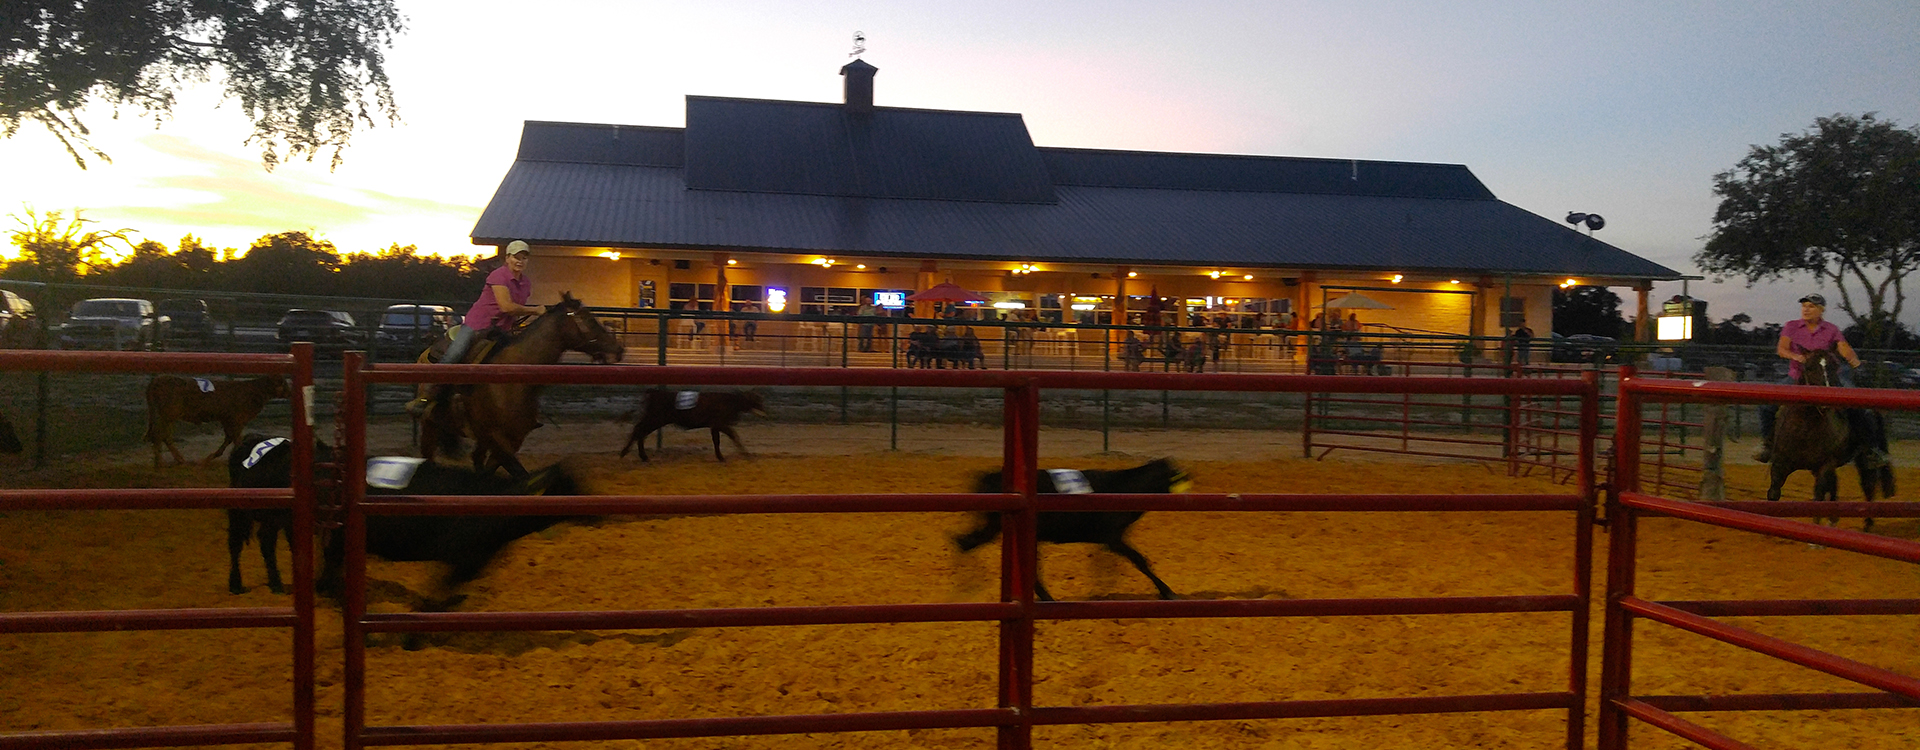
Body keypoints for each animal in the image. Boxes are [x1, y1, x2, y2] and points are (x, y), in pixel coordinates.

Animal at [144, 375, 291, 469]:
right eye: (283, 384)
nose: (290, 392)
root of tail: (157, 380)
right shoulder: (236, 419)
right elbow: (236, 439)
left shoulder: (228, 420)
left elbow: (229, 439)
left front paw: (209, 458)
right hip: (168, 414)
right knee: (159, 434)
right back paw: (160, 463)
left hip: (168, 416)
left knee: (164, 435)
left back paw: (177, 460)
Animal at [614, 391, 764, 460]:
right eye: (757, 401)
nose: (764, 412)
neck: (730, 401)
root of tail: (654, 393)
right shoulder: (719, 424)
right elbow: (732, 436)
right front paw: (742, 454)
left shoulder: (714, 426)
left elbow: (717, 440)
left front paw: (721, 456)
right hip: (655, 419)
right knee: (639, 431)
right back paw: (627, 453)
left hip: (654, 420)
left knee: (640, 432)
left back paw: (642, 456)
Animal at [956, 454, 1182, 602]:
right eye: (1173, 475)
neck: (1124, 486)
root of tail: (989, 476)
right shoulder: (1112, 538)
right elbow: (1140, 560)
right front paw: (1168, 591)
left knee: (967, 542)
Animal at [1758, 347, 1896, 529]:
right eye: (1809, 367)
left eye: (1834, 366)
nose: (1827, 397)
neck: (1804, 430)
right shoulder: (1780, 464)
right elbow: (1773, 494)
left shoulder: (1824, 466)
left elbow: (1818, 499)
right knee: (1836, 487)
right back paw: (1834, 520)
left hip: (1861, 459)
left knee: (1868, 484)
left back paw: (1867, 524)